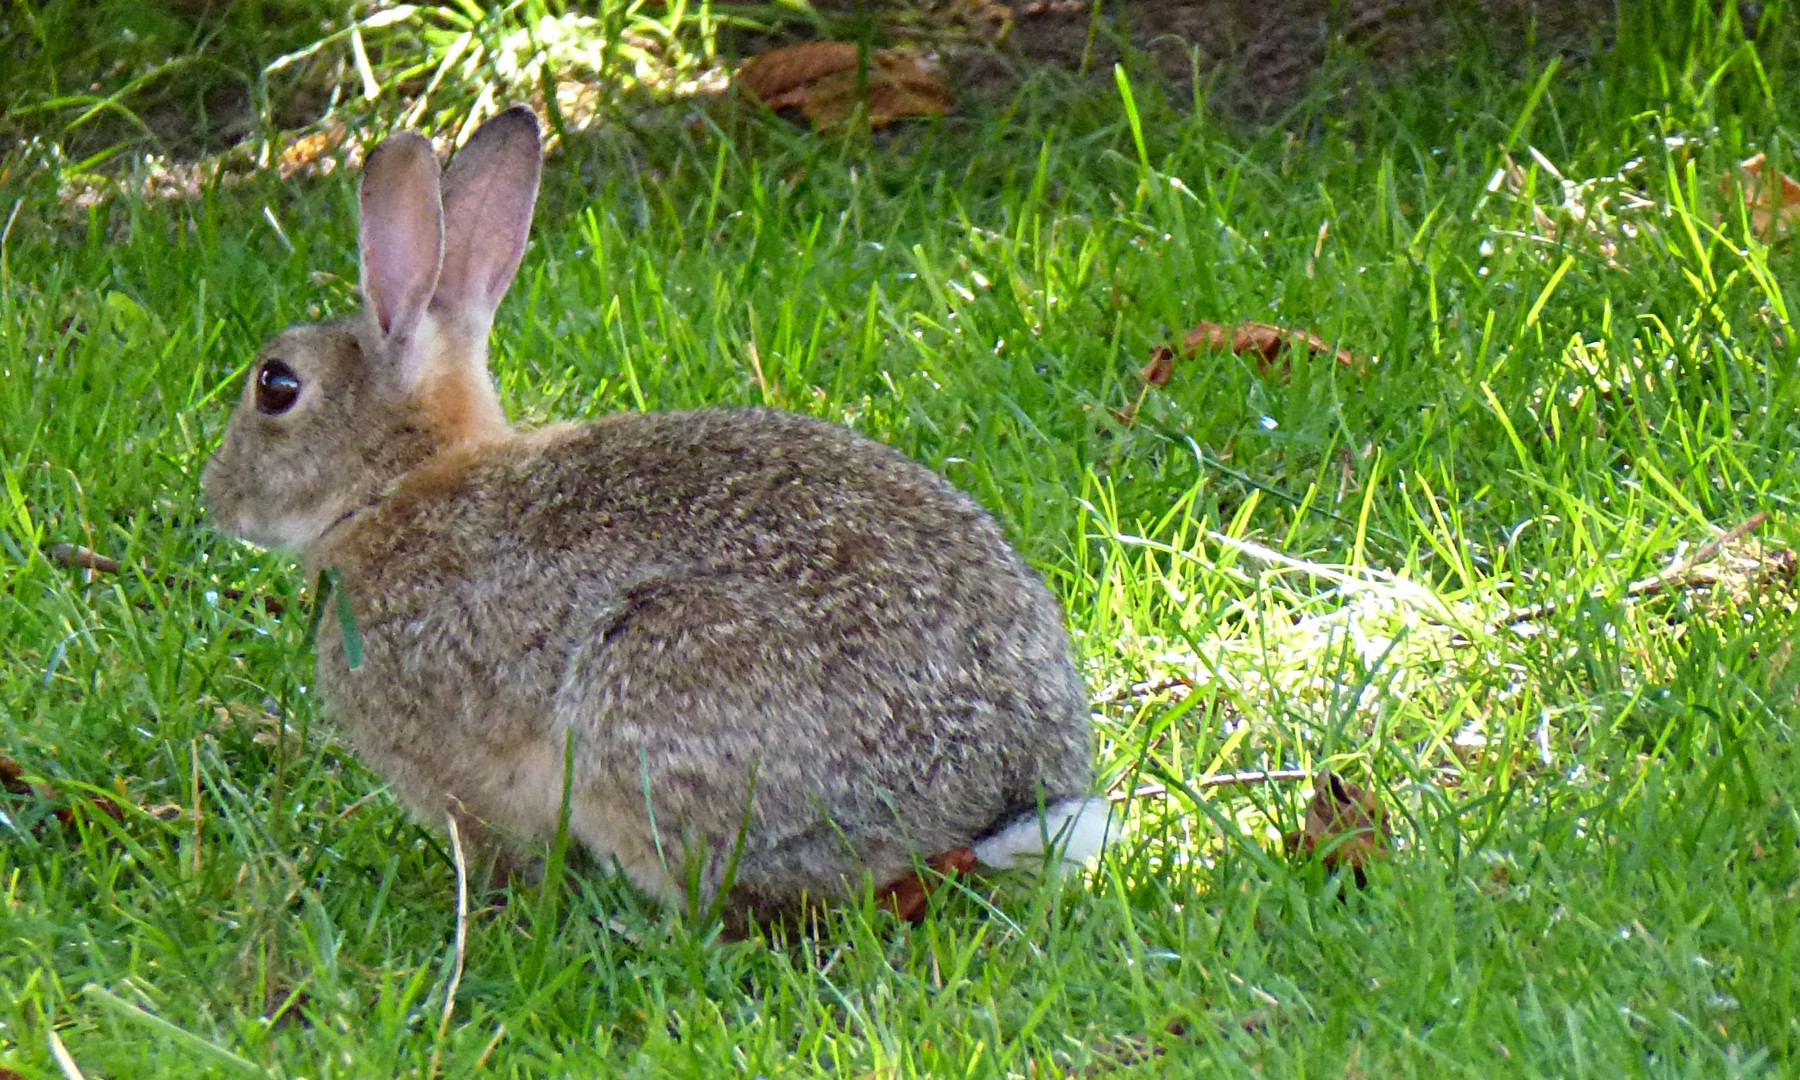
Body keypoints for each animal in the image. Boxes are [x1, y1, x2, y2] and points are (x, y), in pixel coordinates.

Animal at [207, 107, 1108, 918]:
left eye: (275, 386)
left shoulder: (452, 774)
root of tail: (1003, 797)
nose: (216, 495)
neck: (395, 486)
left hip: (653, 696)